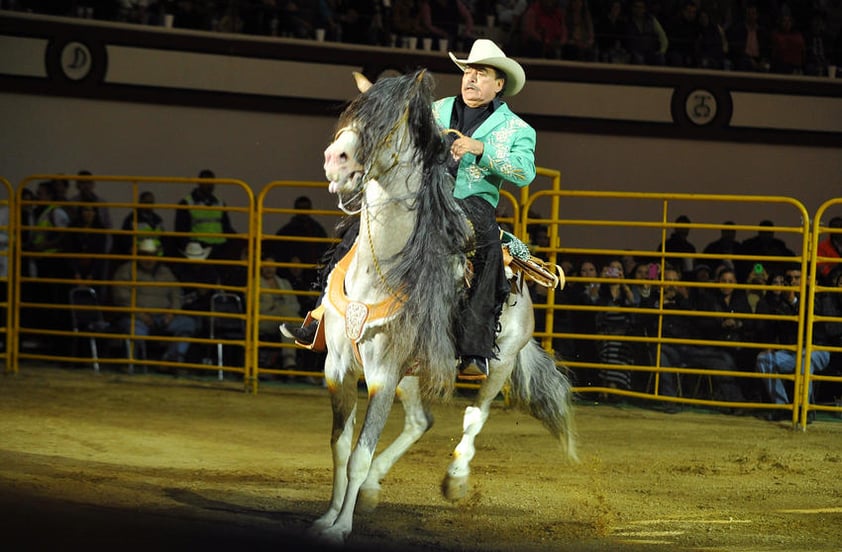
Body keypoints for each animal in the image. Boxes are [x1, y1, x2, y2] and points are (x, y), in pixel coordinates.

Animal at [308, 69, 576, 544]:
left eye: (389, 124)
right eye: (354, 114)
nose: (336, 159)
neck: (382, 268)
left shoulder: (382, 374)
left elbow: (358, 454)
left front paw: (341, 528)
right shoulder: (339, 369)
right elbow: (340, 449)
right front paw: (328, 517)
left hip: (499, 363)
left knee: (475, 415)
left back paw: (455, 479)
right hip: (413, 373)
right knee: (421, 421)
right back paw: (374, 489)